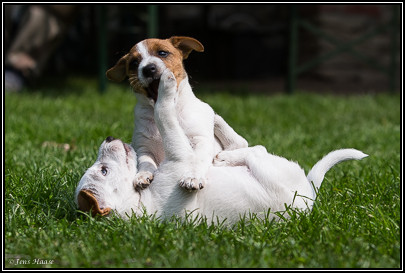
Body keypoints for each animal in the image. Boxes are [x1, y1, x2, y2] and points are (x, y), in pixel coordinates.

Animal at [74, 69, 368, 223]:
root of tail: (310, 192)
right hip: (271, 169)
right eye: (103, 171)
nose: (108, 139)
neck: (138, 205)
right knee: (256, 150)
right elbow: (165, 116)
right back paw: (224, 156)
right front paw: (167, 86)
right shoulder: (180, 157)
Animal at [105, 36, 248, 191]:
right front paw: (142, 174)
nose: (148, 69)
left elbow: (197, 159)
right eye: (134, 63)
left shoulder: (201, 140)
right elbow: (145, 162)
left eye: (162, 53)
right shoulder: (143, 147)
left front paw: (193, 176)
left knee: (238, 141)